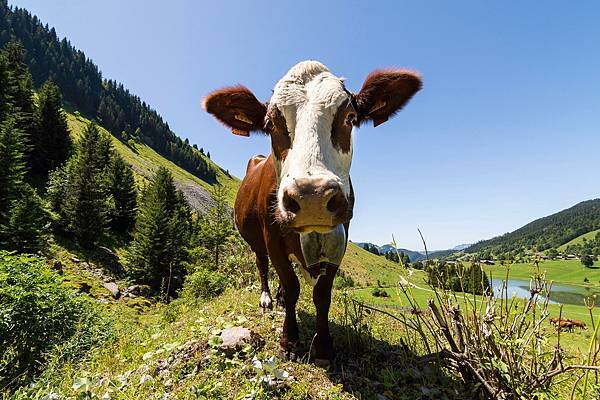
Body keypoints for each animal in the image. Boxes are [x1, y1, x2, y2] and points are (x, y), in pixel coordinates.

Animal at [204, 61, 420, 368]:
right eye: (270, 124)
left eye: (350, 118)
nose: (312, 197)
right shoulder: (272, 238)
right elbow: (292, 285)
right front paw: (289, 341)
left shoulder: (340, 239)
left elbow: (321, 294)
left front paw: (323, 348)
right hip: (255, 240)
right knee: (262, 265)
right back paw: (268, 298)